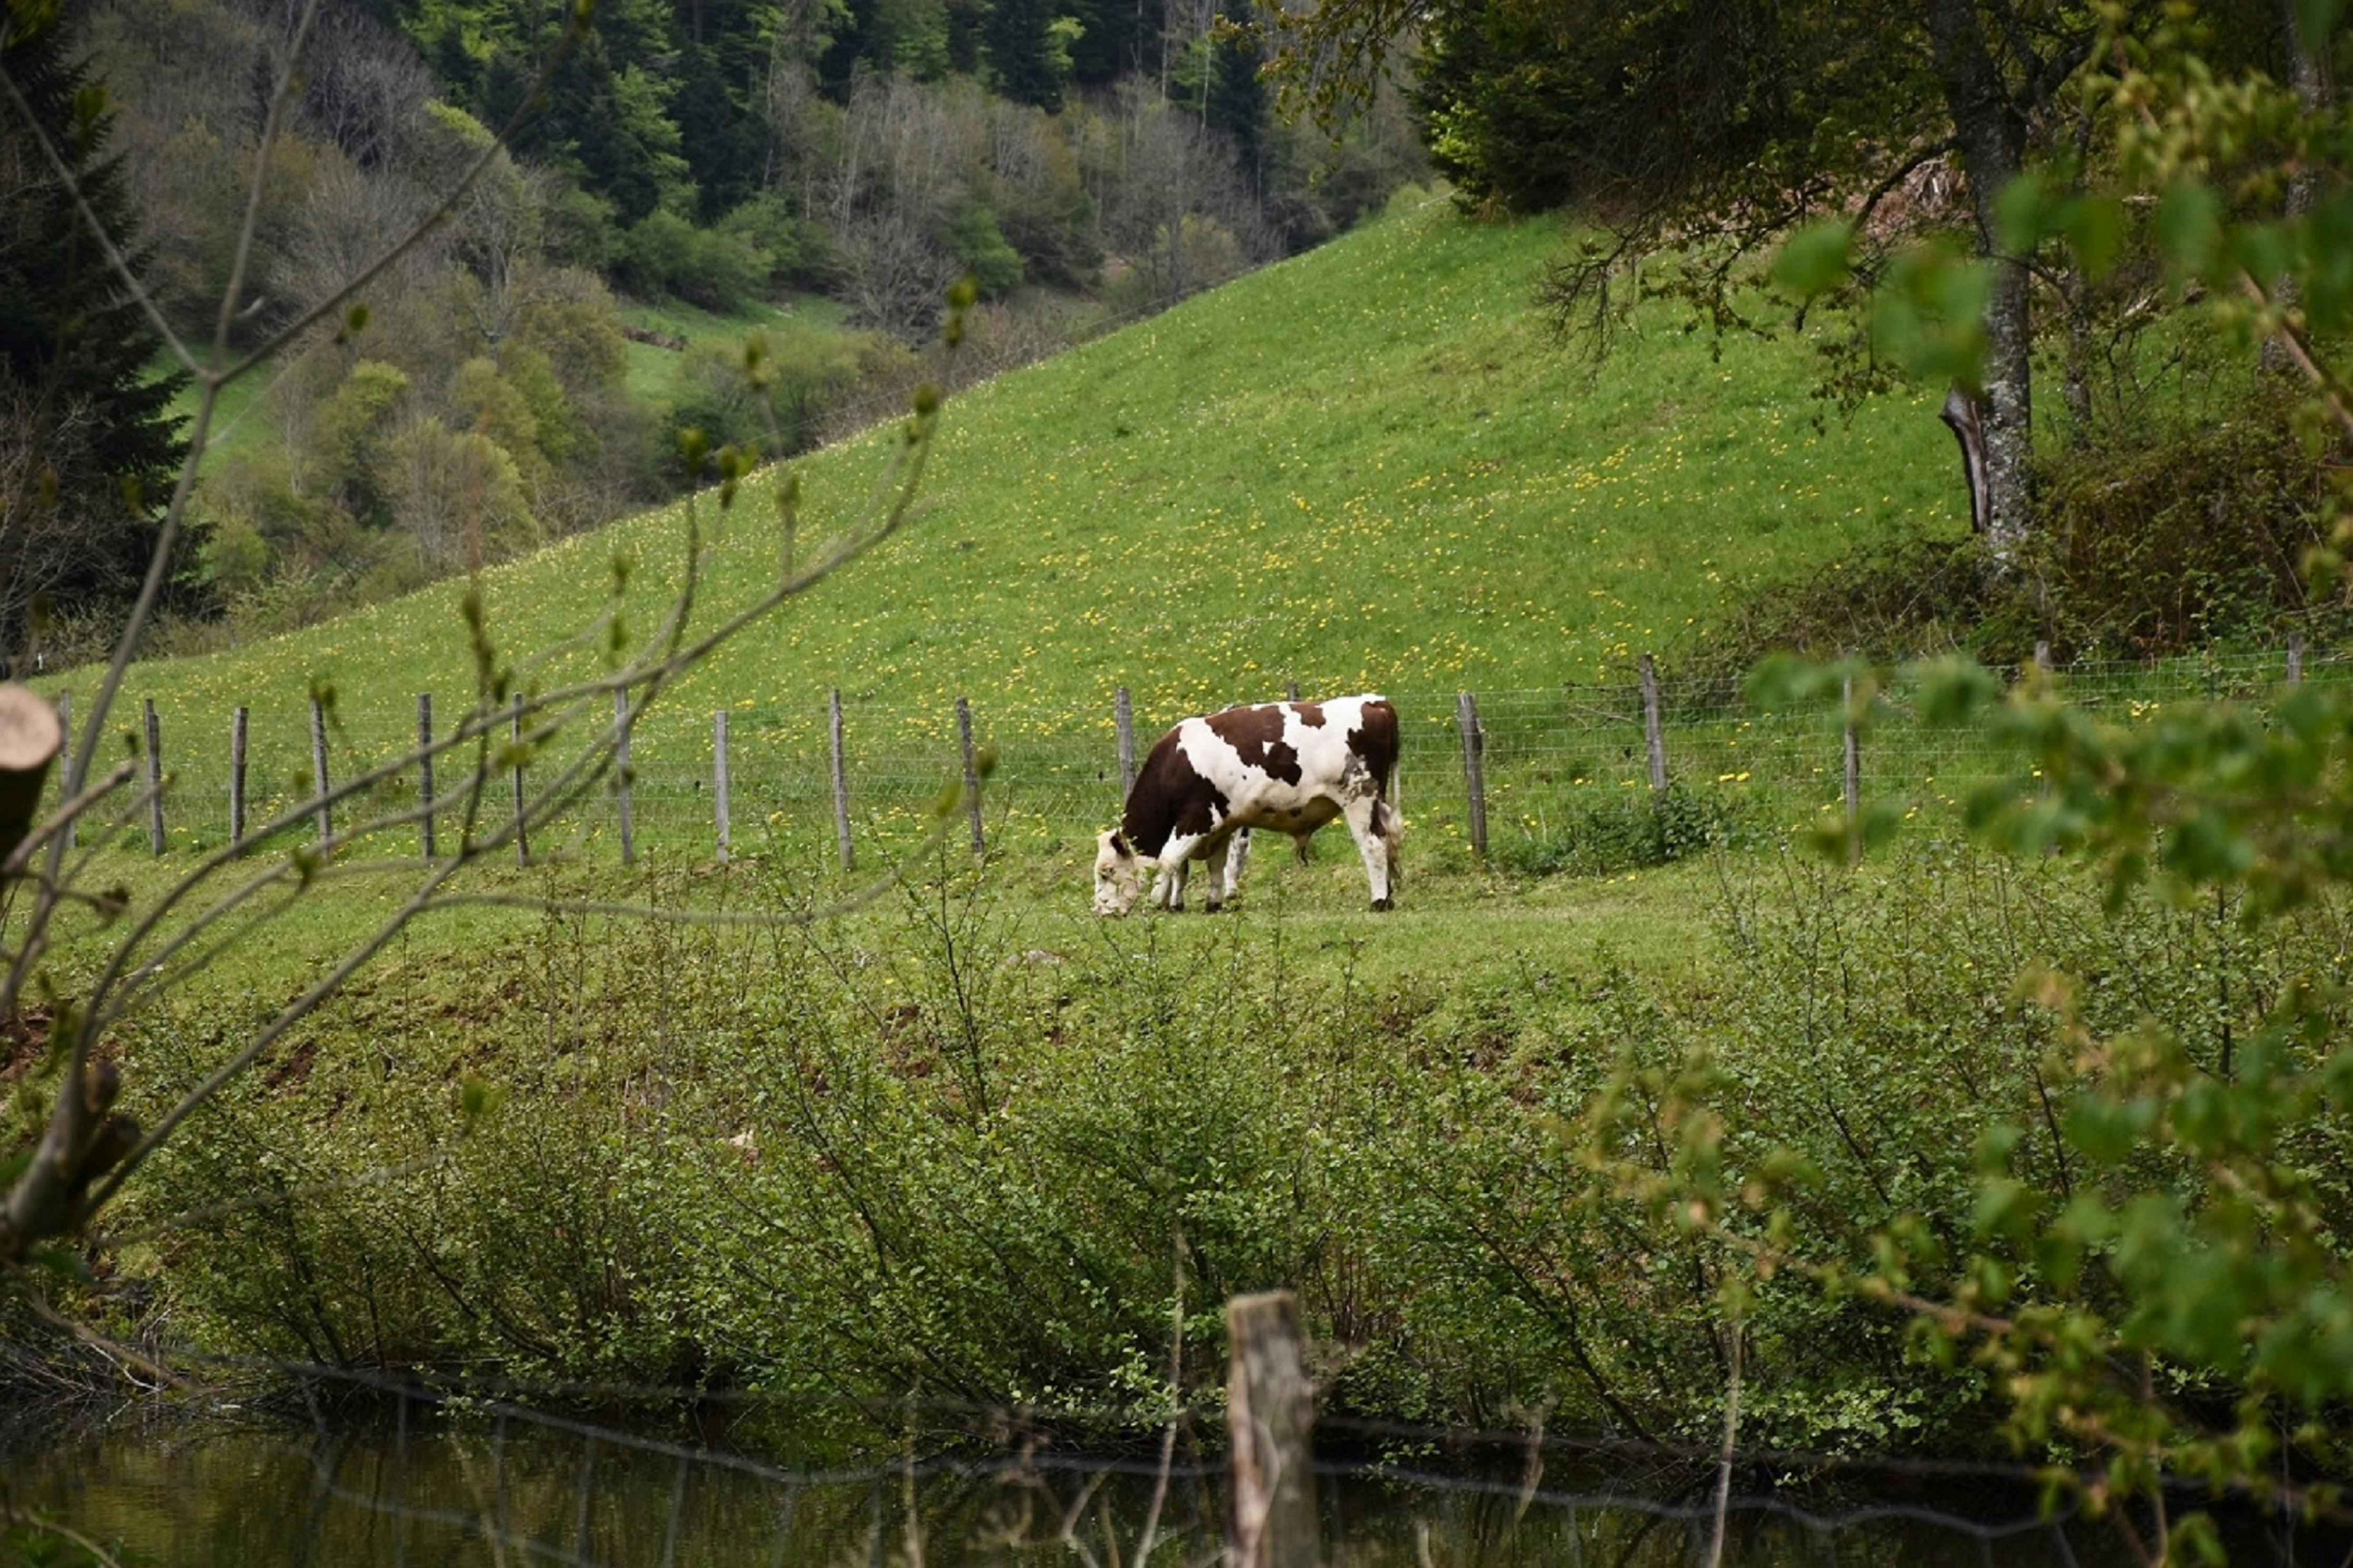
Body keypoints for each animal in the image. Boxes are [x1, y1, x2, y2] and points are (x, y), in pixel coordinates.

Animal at [1096, 692, 1402, 909]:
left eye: (1107, 872)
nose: (1099, 911)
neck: (1175, 766)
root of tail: (1374, 702)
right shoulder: (1219, 825)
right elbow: (1213, 864)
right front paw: (1210, 903)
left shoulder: (1196, 819)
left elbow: (1169, 860)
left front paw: (1156, 900)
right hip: (1379, 802)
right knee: (1389, 839)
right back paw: (1388, 894)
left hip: (1359, 799)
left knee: (1374, 844)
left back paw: (1379, 901)